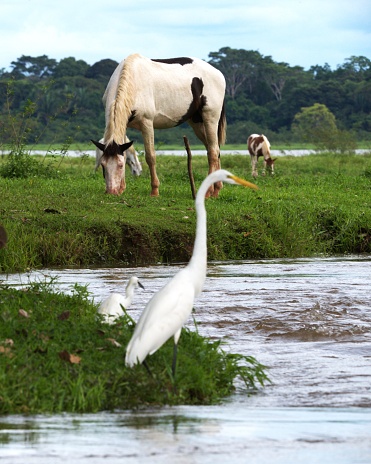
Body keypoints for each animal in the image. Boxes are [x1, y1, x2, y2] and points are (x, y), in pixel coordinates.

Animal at [92, 53, 227, 197]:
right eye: (103, 164)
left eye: (120, 165)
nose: (111, 191)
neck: (133, 79)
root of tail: (218, 73)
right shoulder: (125, 125)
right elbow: (125, 152)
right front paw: (122, 188)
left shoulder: (147, 123)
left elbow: (150, 156)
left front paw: (155, 190)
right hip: (197, 123)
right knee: (213, 149)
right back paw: (217, 188)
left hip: (210, 119)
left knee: (213, 152)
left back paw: (210, 192)